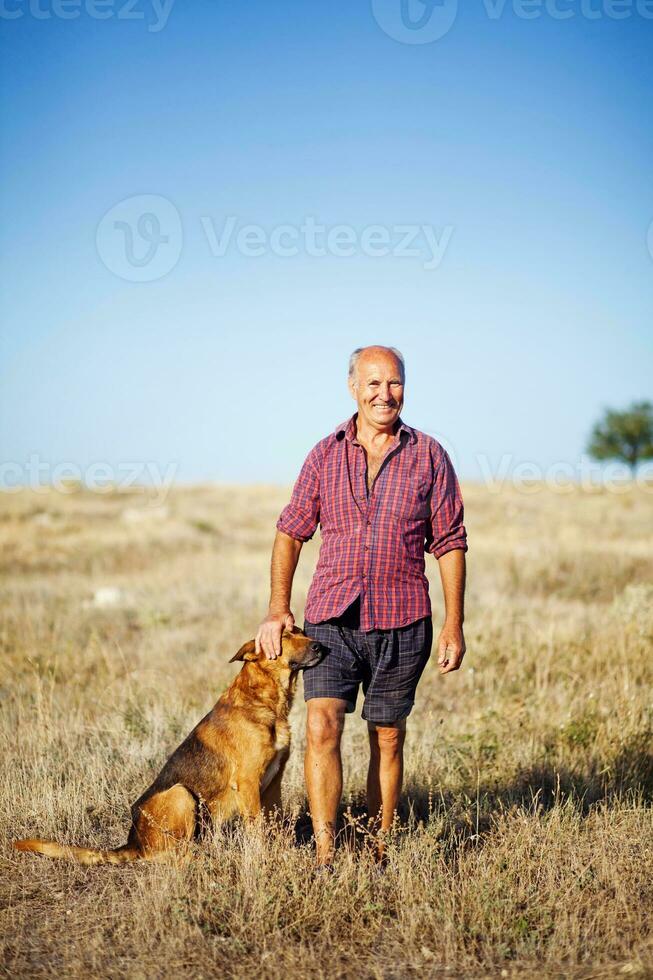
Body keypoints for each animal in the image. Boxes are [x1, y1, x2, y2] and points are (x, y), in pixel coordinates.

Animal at [13, 628, 324, 864]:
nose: (320, 646)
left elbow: (274, 824)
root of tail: (134, 843)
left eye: (301, 631)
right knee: (169, 854)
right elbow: (258, 829)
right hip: (181, 794)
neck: (264, 699)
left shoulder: (272, 783)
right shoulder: (248, 783)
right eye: (285, 636)